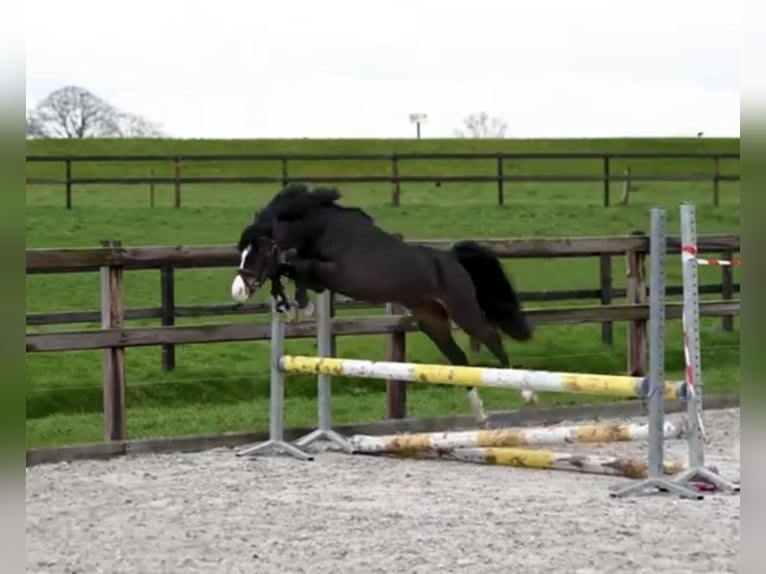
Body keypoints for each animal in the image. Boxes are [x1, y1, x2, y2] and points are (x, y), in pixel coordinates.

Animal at [231, 187, 536, 426]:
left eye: (258, 251)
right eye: (243, 252)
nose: (238, 291)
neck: (324, 232)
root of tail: (451, 258)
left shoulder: (339, 273)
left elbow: (298, 265)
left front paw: (300, 304)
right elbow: (292, 267)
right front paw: (288, 300)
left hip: (464, 310)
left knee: (492, 338)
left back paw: (527, 393)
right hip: (432, 321)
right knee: (458, 358)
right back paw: (480, 412)